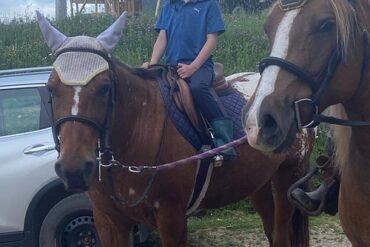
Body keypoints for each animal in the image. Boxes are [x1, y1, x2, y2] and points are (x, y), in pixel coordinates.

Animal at [37, 11, 314, 245]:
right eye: (51, 88)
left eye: (105, 87)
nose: (73, 168)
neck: (137, 132)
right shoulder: (108, 222)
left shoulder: (171, 217)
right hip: (258, 184)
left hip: (289, 177)